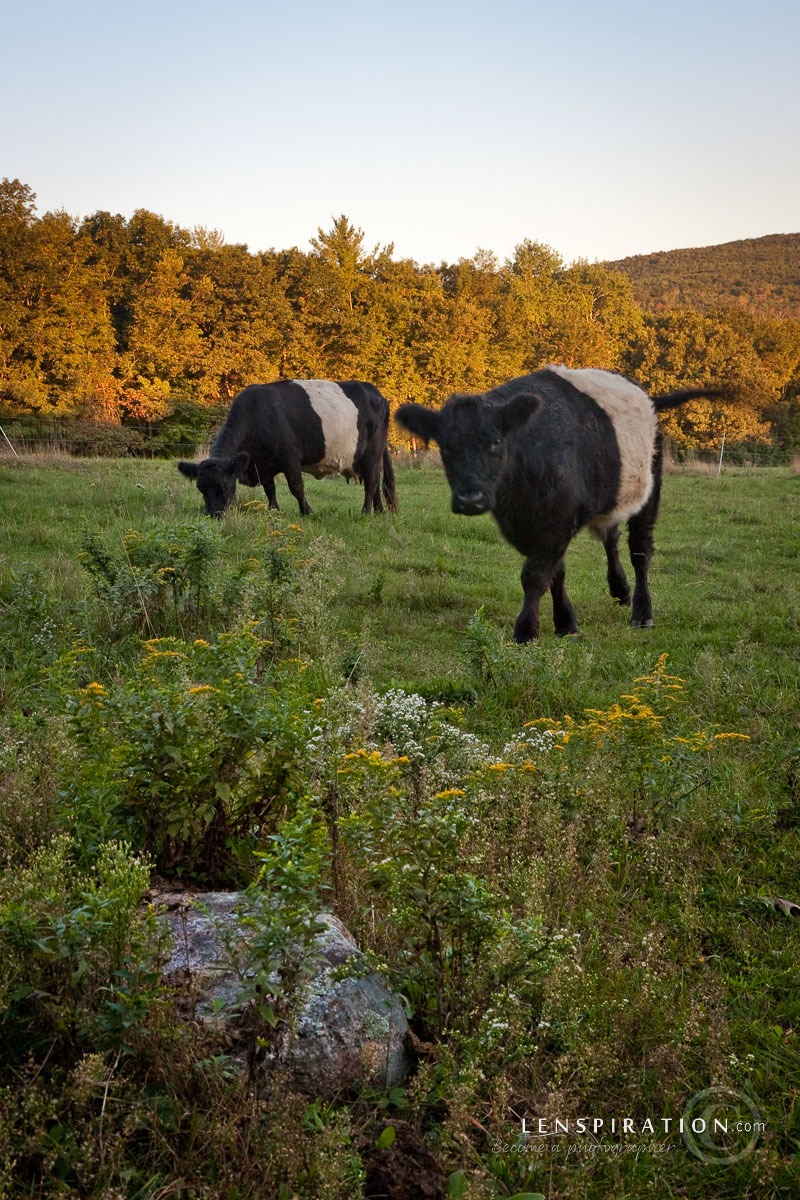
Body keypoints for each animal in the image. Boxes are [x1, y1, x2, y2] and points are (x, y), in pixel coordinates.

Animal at [178, 379, 398, 516]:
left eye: (223, 487)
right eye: (201, 488)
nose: (213, 515)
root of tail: (375, 392)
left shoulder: (291, 457)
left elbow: (296, 487)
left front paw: (307, 512)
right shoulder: (263, 465)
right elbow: (270, 490)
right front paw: (274, 511)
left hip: (371, 451)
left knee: (371, 483)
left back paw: (366, 512)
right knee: (376, 480)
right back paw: (379, 511)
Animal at [395, 364, 724, 643]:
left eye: (496, 442)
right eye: (445, 447)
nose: (470, 499)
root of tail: (647, 396)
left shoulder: (556, 521)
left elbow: (535, 575)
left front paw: (526, 630)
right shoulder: (538, 524)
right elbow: (556, 574)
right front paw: (566, 622)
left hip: (648, 492)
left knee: (640, 551)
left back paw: (642, 614)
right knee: (612, 537)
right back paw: (620, 590)